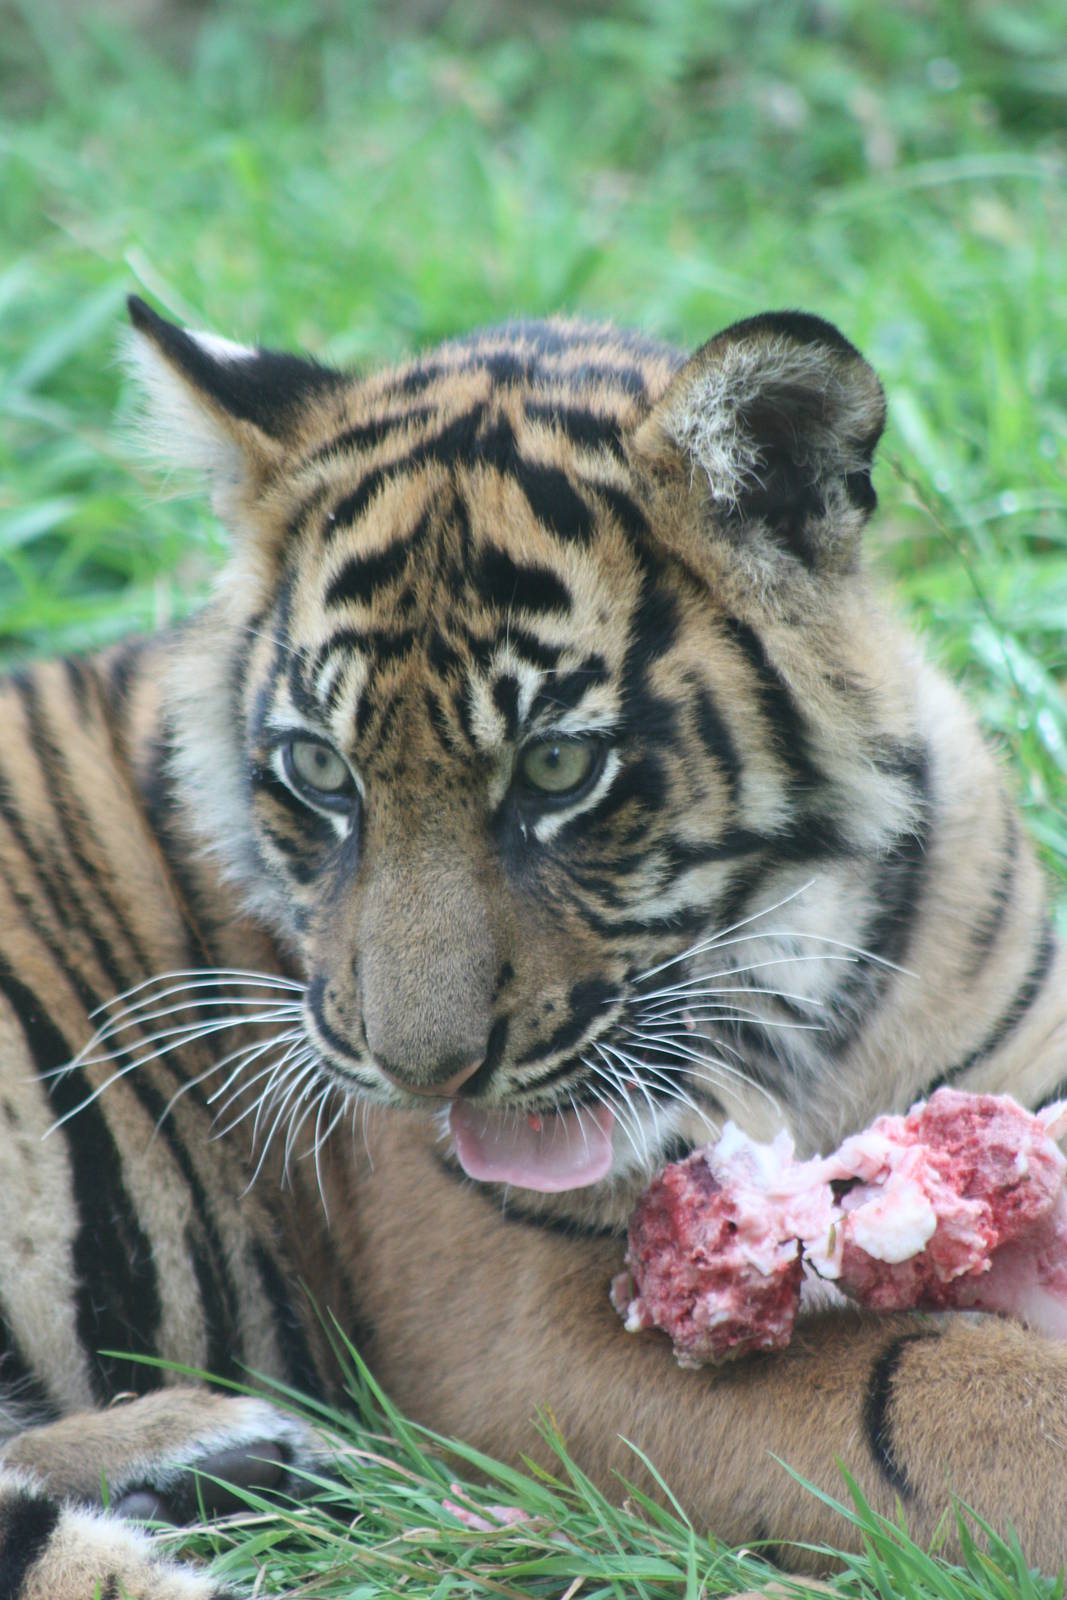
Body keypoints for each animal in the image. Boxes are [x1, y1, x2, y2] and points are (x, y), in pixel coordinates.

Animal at [0, 295, 1065, 1600]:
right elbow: (936, 1390)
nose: (419, 1075)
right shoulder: (526, 1321)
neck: (810, 989)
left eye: (557, 767)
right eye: (320, 771)